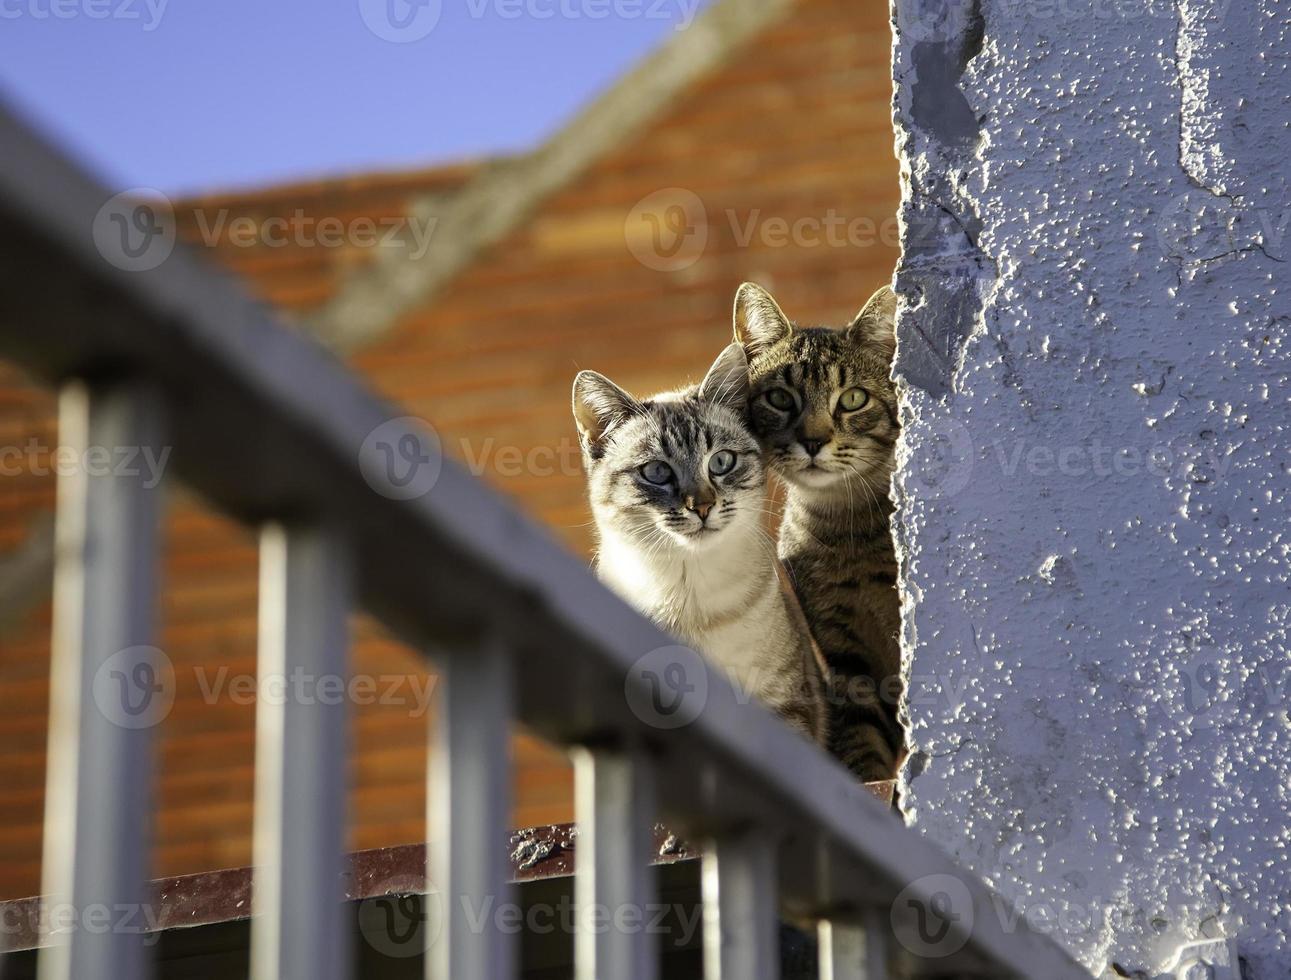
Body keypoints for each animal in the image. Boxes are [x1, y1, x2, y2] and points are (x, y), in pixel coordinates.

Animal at [733, 281, 903, 779]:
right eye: (780, 398)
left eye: (853, 399)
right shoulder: (845, 654)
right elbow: (862, 741)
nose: (812, 440)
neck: (848, 529)